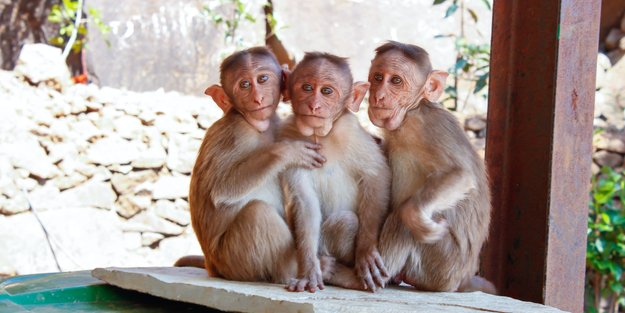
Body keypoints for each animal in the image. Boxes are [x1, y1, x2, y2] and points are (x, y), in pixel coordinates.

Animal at [280, 51, 390, 292]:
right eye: (307, 88)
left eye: (327, 91)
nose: (314, 106)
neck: (319, 136)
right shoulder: (288, 138)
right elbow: (305, 202)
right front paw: (309, 270)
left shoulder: (350, 131)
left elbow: (376, 176)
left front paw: (366, 251)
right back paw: (328, 268)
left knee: (346, 222)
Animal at [366, 40, 492, 292]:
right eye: (377, 77)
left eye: (396, 81)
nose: (379, 96)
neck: (412, 110)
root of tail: (462, 278)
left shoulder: (425, 126)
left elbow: (461, 175)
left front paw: (416, 218)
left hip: (441, 267)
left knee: (401, 218)